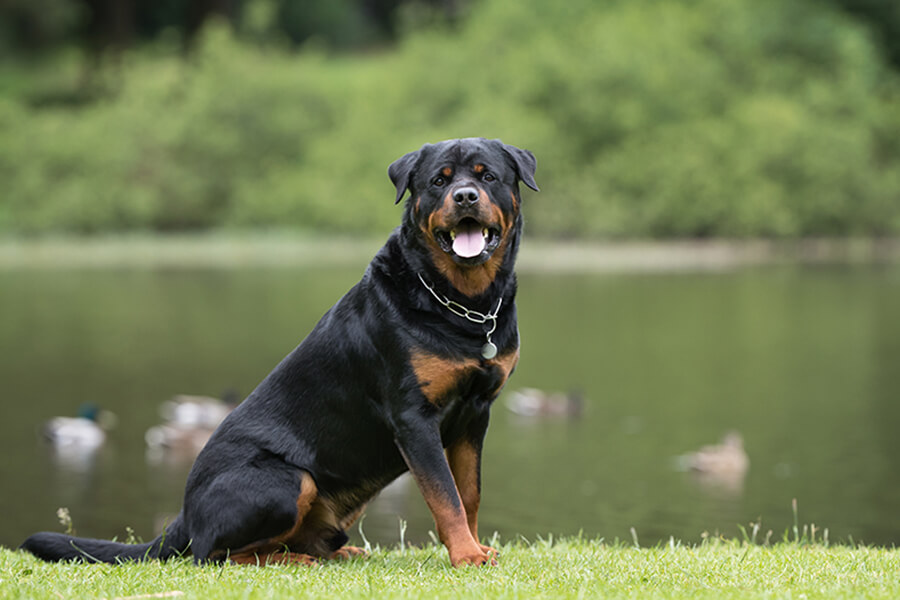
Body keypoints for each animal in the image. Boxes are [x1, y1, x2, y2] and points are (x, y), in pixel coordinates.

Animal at [21, 136, 536, 568]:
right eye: (438, 181)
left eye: (487, 176)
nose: (465, 197)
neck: (464, 305)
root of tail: (184, 517)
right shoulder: (414, 417)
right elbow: (445, 497)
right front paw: (466, 556)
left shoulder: (475, 413)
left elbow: (468, 493)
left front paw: (475, 547)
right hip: (288, 480)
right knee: (214, 554)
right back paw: (294, 560)